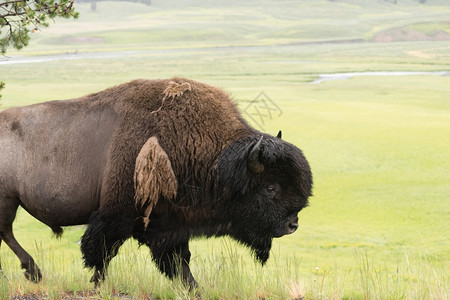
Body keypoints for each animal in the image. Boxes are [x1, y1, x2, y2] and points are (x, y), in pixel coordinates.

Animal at [0, 78, 312, 288]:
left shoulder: (172, 225)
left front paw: (193, 288)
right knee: (7, 232)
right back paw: (34, 272)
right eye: (270, 187)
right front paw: (97, 285)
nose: (292, 225)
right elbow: (103, 252)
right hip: (7, 201)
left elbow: (179, 261)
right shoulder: (118, 215)